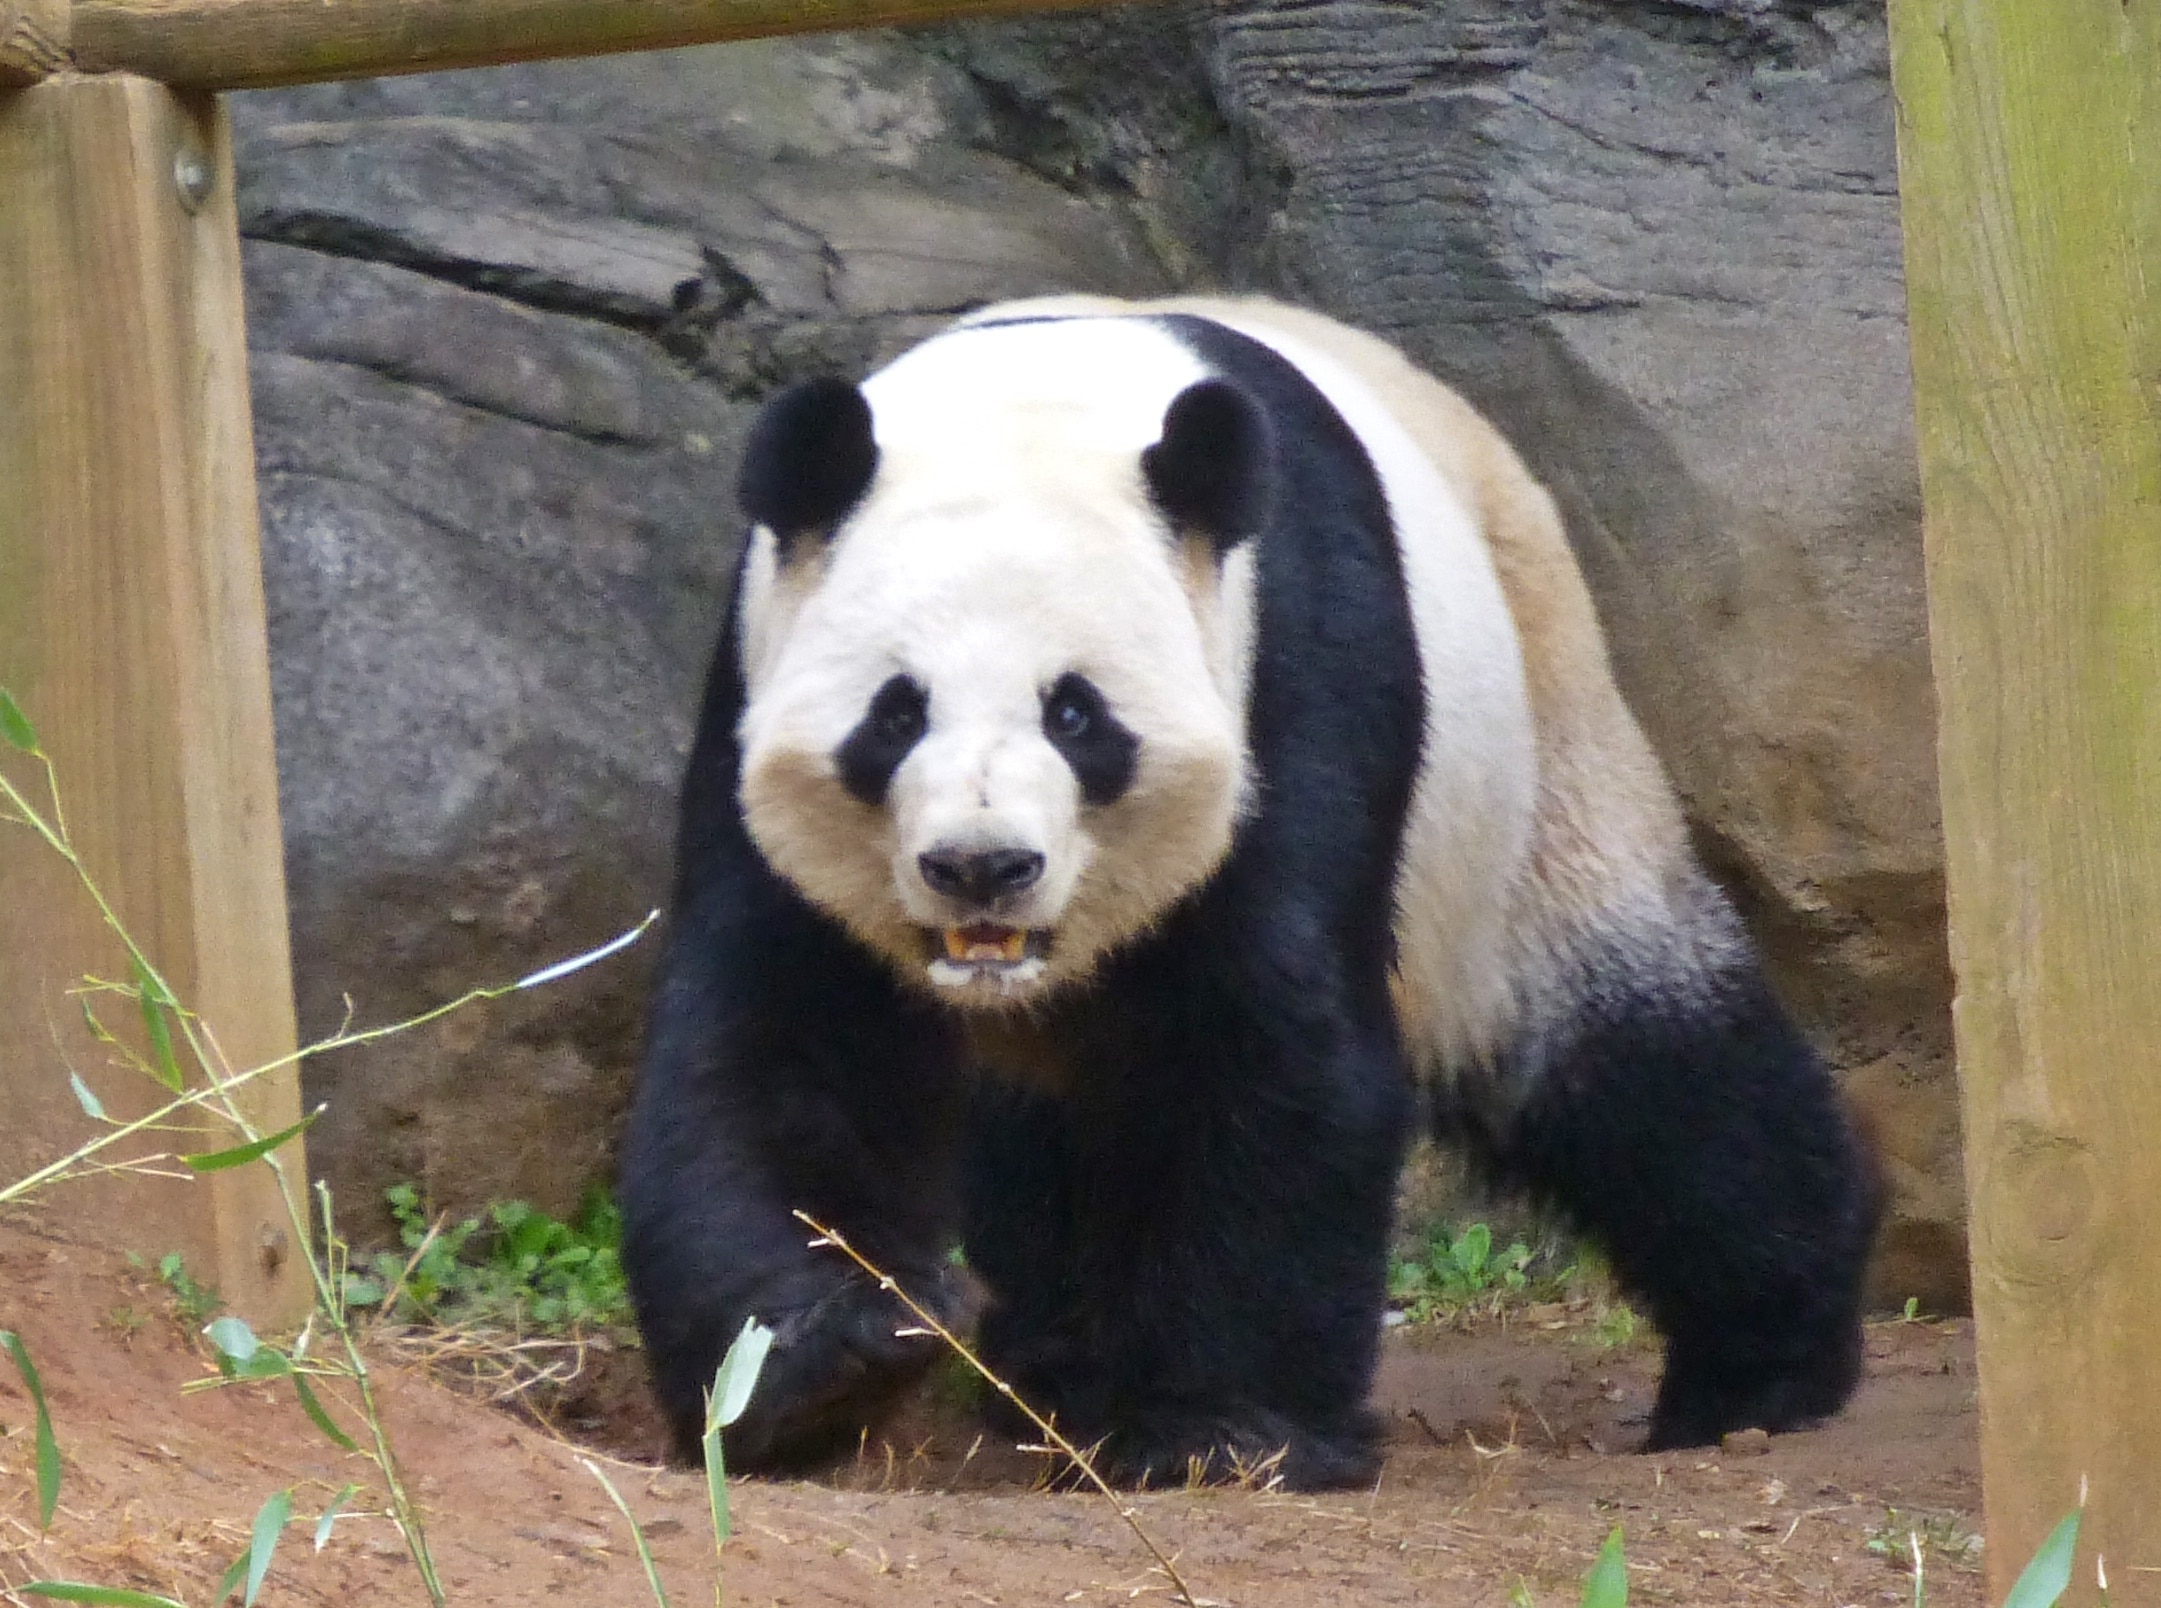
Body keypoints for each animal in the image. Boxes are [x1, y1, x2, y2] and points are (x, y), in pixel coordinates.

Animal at [618, 296, 1884, 1486]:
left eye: (1075, 714)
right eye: (894, 716)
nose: (982, 867)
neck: (1033, 407)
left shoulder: (1294, 665)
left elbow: (1268, 1041)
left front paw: (1221, 1433)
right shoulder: (752, 687)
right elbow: (781, 1047)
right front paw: (830, 1355)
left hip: (1531, 760)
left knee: (1635, 1059)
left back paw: (1761, 1362)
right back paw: (1055, 1373)